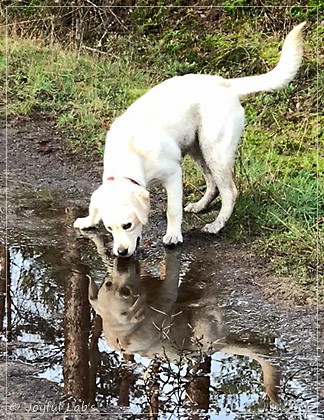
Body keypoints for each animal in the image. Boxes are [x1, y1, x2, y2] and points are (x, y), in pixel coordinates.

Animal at [74, 23, 306, 256]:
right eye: (108, 228)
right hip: (198, 149)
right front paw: (88, 220)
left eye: (127, 225)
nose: (121, 252)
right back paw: (201, 205)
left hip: (215, 150)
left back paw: (216, 224)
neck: (130, 154)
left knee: (229, 192)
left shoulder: (173, 175)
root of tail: (226, 84)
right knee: (212, 184)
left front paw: (173, 235)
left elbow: (172, 209)